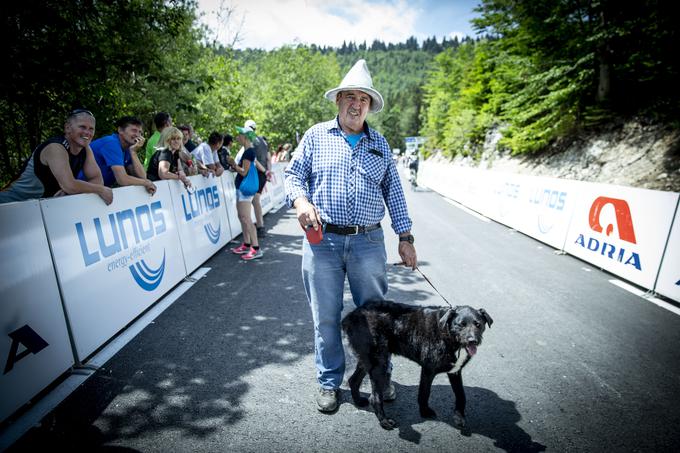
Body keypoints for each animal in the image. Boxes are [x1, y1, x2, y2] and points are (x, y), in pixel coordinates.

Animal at [342, 302, 492, 430]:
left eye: (478, 324)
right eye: (461, 324)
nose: (473, 341)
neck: (447, 333)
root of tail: (351, 315)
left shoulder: (455, 372)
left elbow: (461, 395)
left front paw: (459, 417)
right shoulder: (428, 370)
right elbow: (424, 393)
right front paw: (425, 412)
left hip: (369, 360)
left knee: (353, 380)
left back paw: (358, 401)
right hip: (379, 362)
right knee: (374, 397)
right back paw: (384, 421)